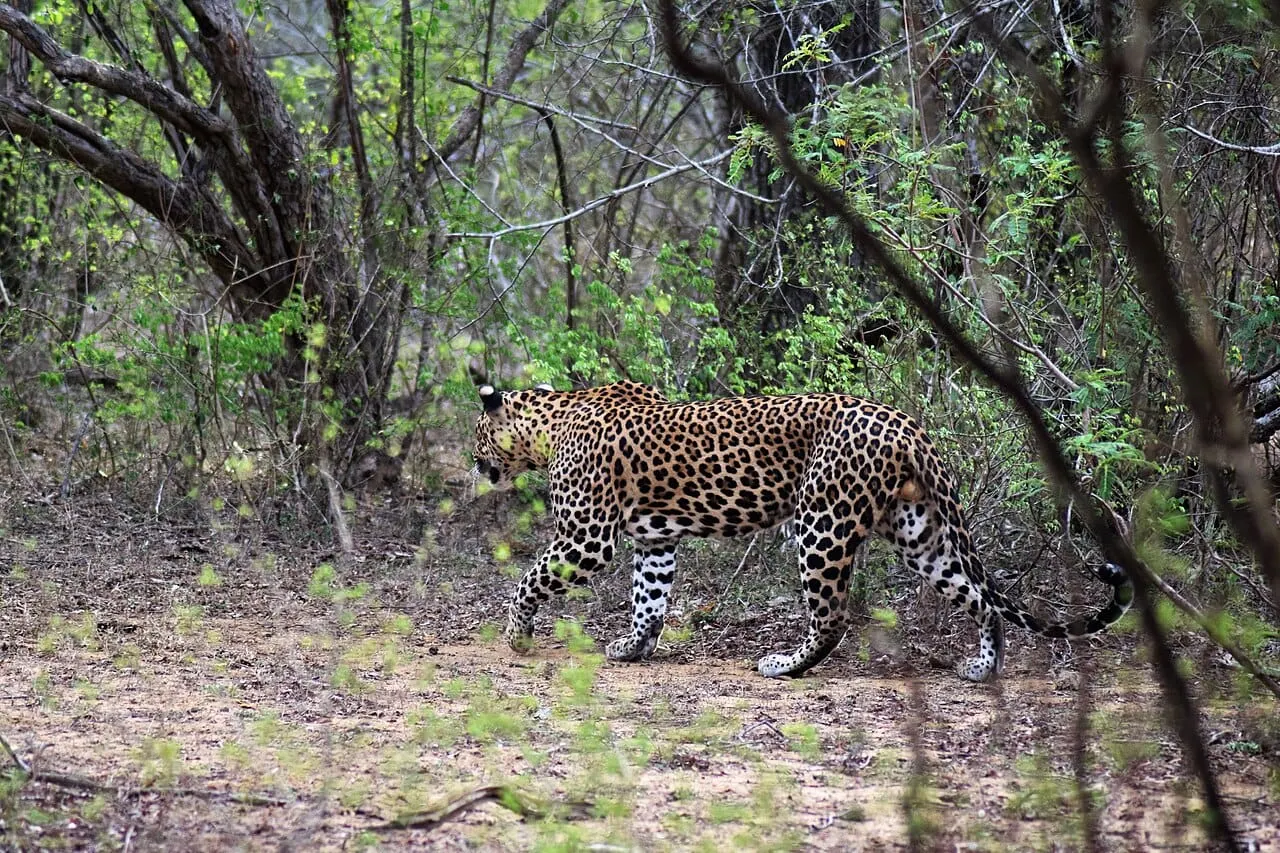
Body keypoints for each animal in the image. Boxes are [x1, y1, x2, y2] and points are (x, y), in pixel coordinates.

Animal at [470, 381, 1133, 682]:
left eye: (478, 436)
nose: (474, 464)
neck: (550, 422)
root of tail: (908, 425)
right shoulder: (655, 540)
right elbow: (649, 601)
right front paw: (633, 648)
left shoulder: (587, 536)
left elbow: (530, 578)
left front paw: (516, 634)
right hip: (919, 533)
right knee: (981, 598)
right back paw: (983, 668)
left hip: (822, 521)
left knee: (832, 616)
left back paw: (786, 665)